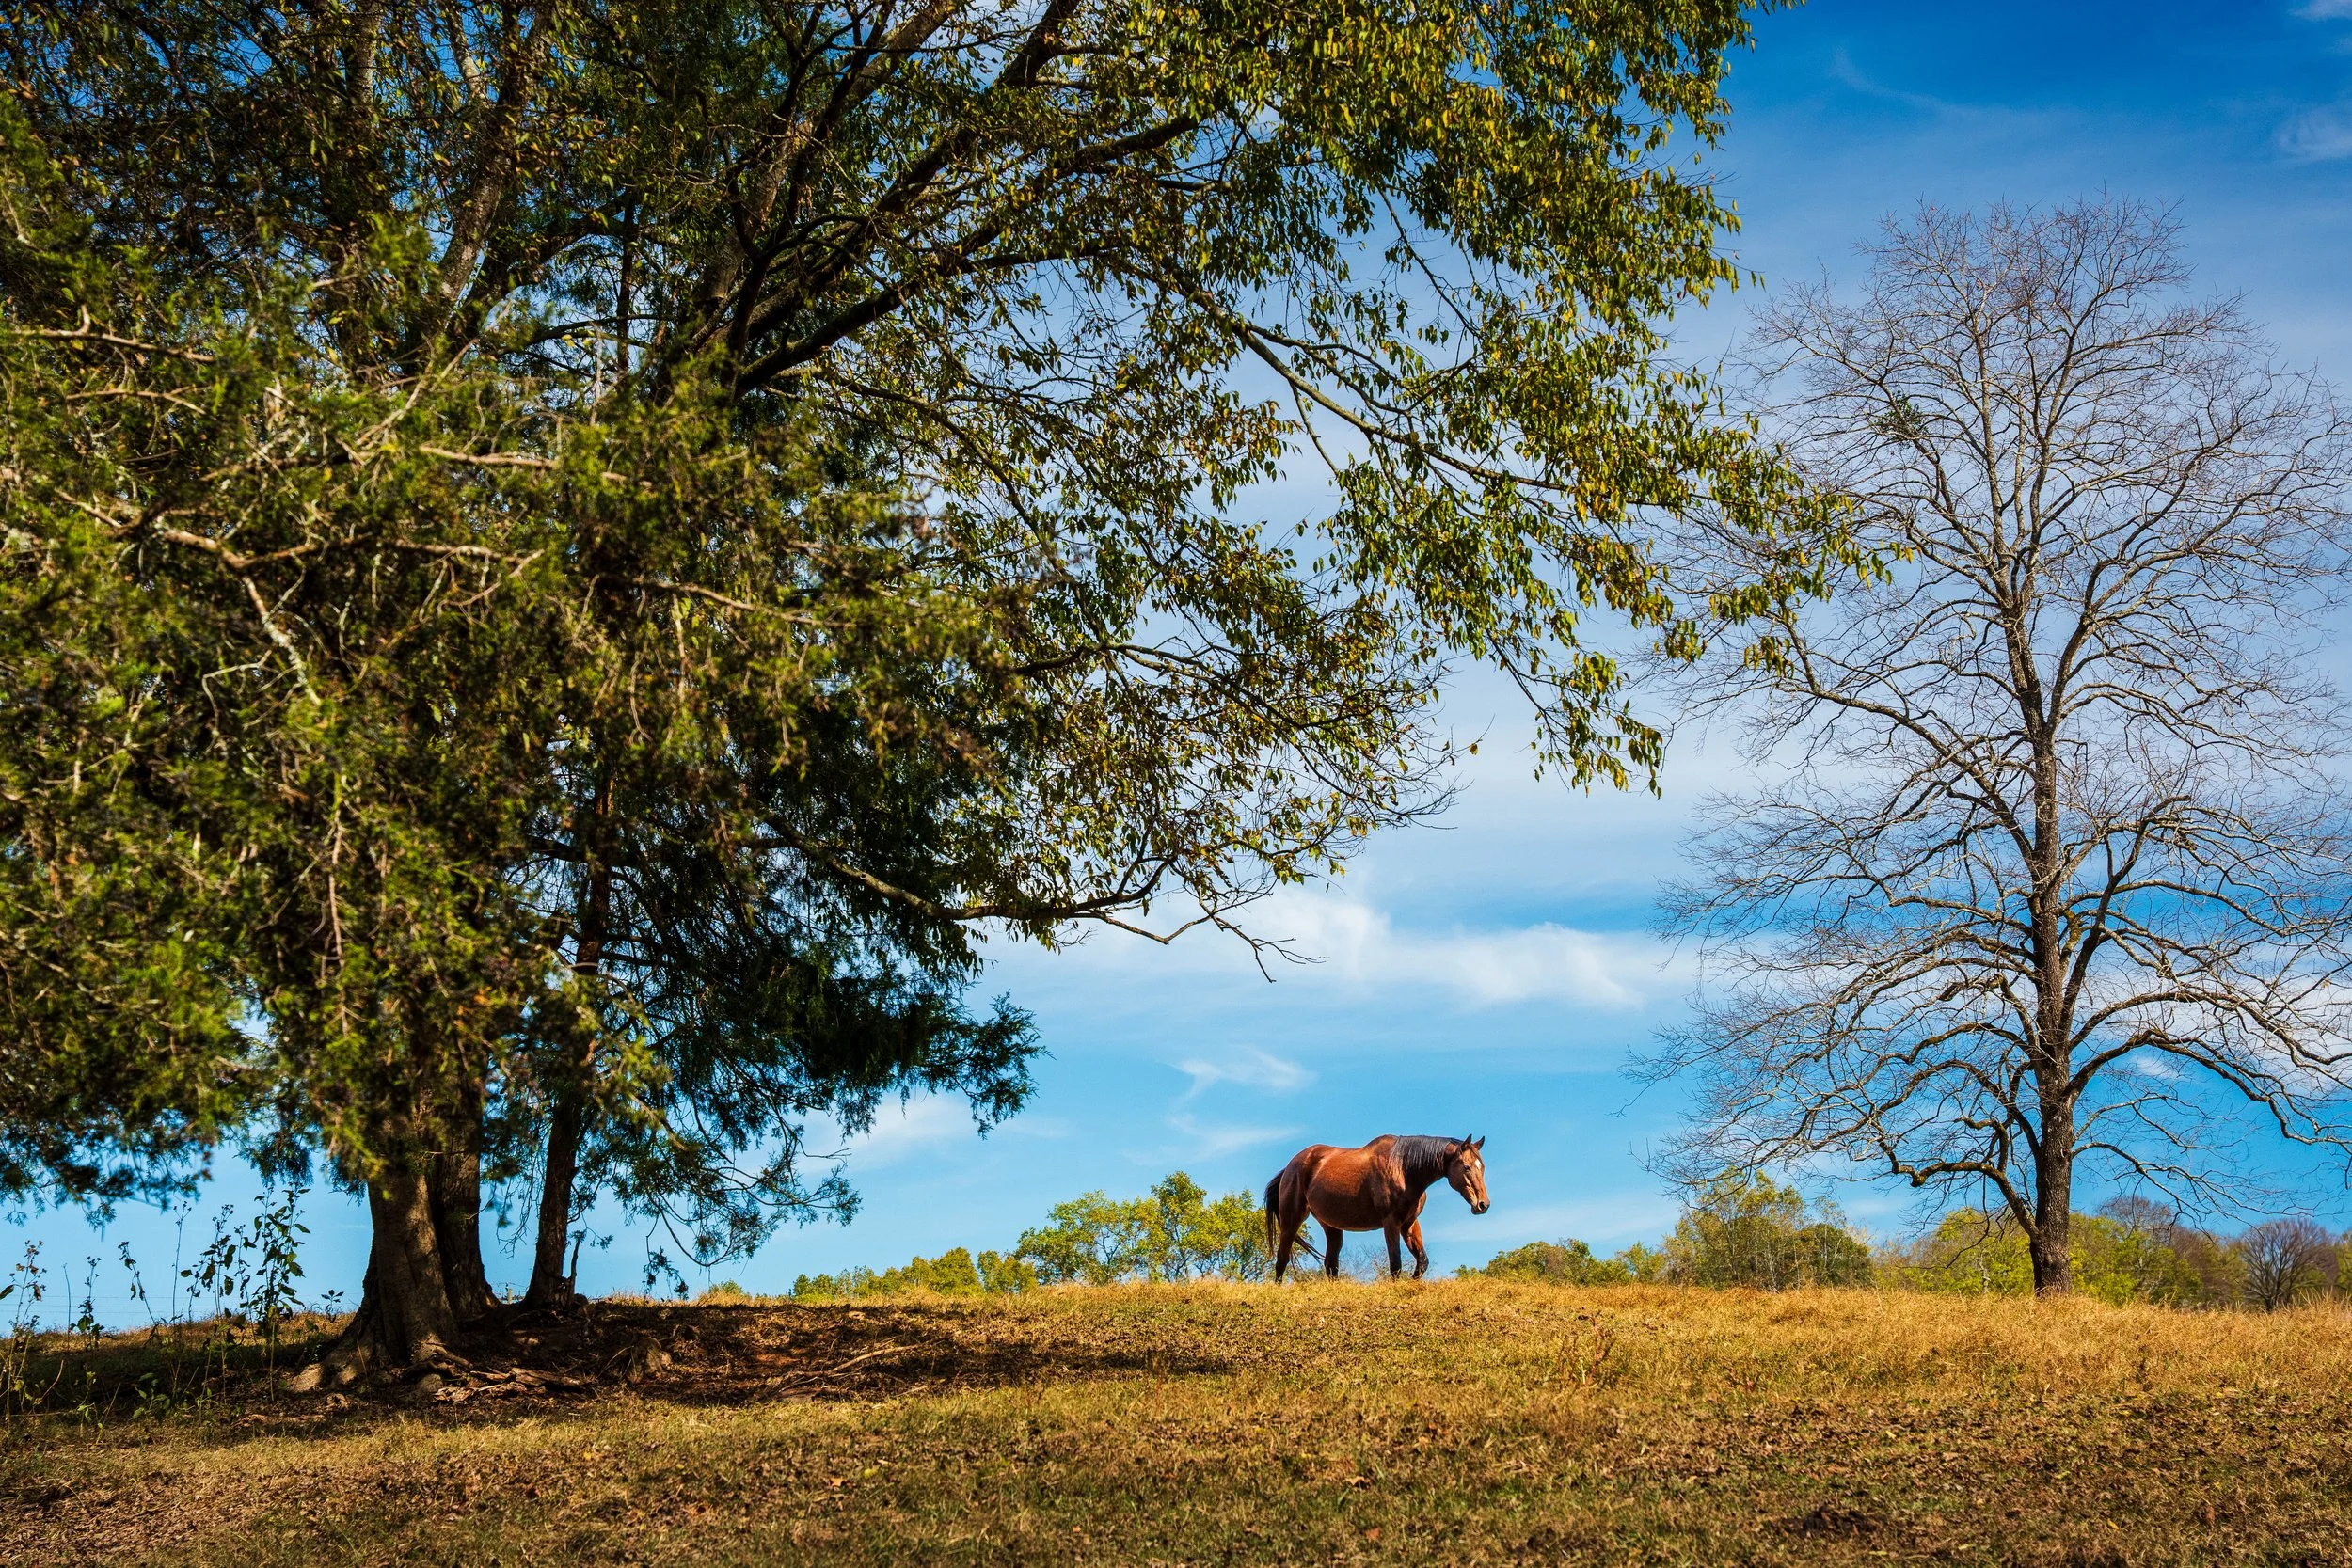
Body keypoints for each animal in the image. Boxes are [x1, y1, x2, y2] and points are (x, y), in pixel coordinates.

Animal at [1262, 1134, 1488, 1282]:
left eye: (1482, 1167)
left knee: (1331, 1265)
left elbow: (1422, 1261)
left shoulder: (1408, 1224)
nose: (1483, 1204)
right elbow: (1395, 1264)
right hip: (1291, 1220)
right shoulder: (1391, 1223)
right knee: (1282, 1260)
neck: (1403, 1169)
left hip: (1332, 1226)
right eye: (1466, 1167)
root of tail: (1291, 1166)